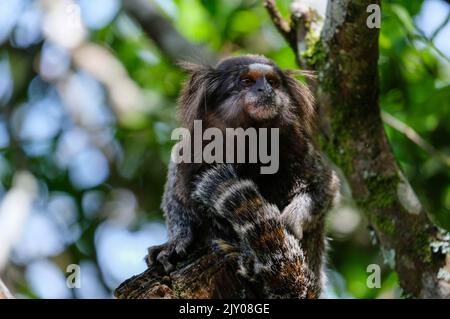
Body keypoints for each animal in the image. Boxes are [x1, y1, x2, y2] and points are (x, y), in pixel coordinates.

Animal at [148, 55, 342, 300]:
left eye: (272, 82)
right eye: (247, 81)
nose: (265, 89)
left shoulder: (300, 149)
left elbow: (325, 188)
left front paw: (291, 219)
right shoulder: (191, 151)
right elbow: (178, 196)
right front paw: (177, 241)